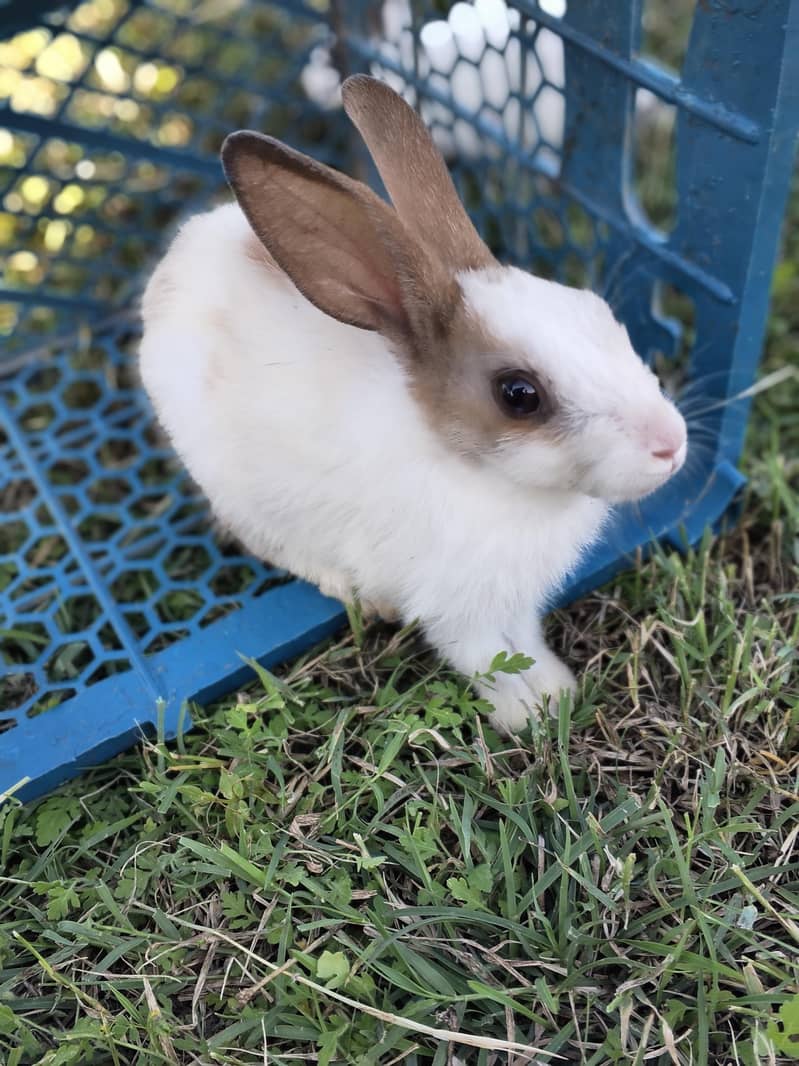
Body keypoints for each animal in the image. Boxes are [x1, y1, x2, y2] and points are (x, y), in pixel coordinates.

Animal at [139, 75, 687, 734]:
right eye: (519, 395)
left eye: (598, 311)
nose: (672, 445)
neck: (485, 479)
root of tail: (176, 260)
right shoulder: (453, 607)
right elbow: (482, 656)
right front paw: (524, 712)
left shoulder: (514, 600)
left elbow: (523, 640)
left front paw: (555, 691)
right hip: (240, 493)